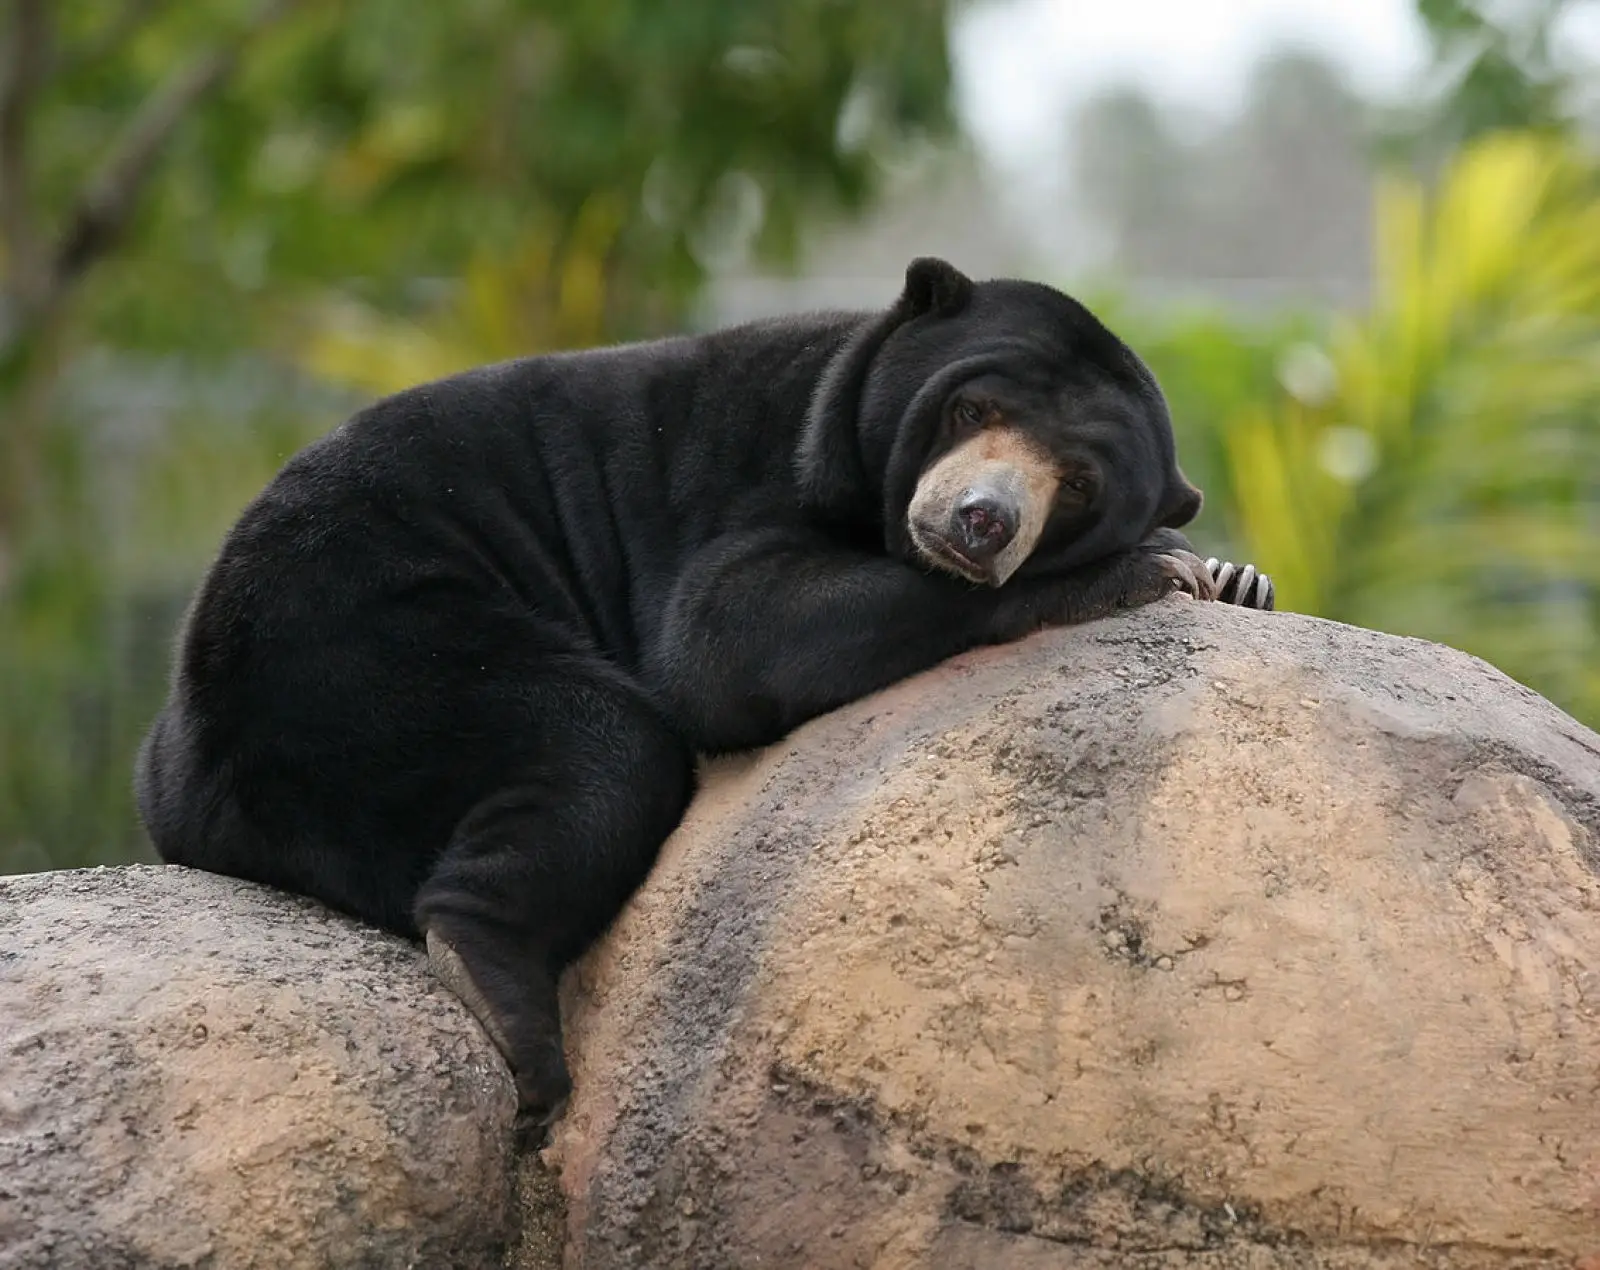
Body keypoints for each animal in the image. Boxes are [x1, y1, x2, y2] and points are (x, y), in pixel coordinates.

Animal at [135, 257, 1274, 1119]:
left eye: (1076, 483)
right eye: (973, 406)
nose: (982, 521)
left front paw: (1234, 577)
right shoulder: (752, 476)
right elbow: (724, 637)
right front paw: (1149, 571)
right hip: (361, 638)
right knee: (601, 745)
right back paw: (507, 1007)